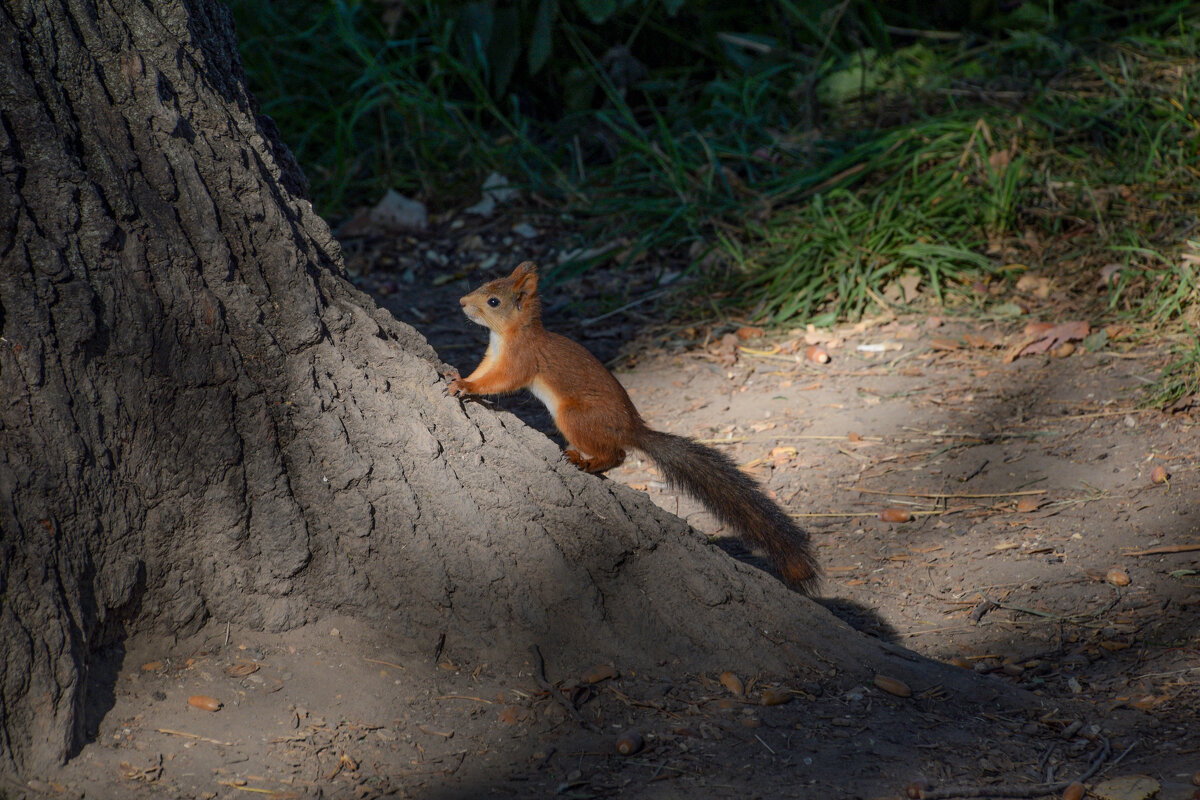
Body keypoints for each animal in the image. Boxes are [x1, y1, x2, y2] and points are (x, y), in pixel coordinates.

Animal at [451, 262, 825, 594]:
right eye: (485, 284)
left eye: (493, 301)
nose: (461, 302)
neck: (508, 335)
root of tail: (632, 428)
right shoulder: (492, 356)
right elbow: (482, 371)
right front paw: (459, 376)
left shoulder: (521, 360)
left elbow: (501, 382)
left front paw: (466, 387)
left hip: (574, 417)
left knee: (617, 455)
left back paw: (586, 461)